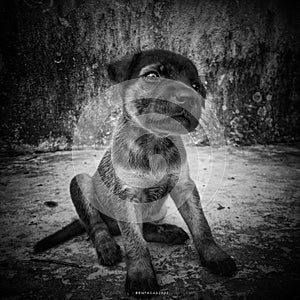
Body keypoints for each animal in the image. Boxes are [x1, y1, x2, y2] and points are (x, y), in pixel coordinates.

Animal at [34, 49, 237, 298]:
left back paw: (166, 232)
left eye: (196, 86)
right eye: (152, 76)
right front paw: (141, 274)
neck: (155, 142)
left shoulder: (184, 187)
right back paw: (107, 246)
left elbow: (201, 226)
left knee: (144, 228)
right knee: (97, 225)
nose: (188, 97)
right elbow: (134, 242)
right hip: (80, 182)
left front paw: (215, 256)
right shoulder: (126, 196)